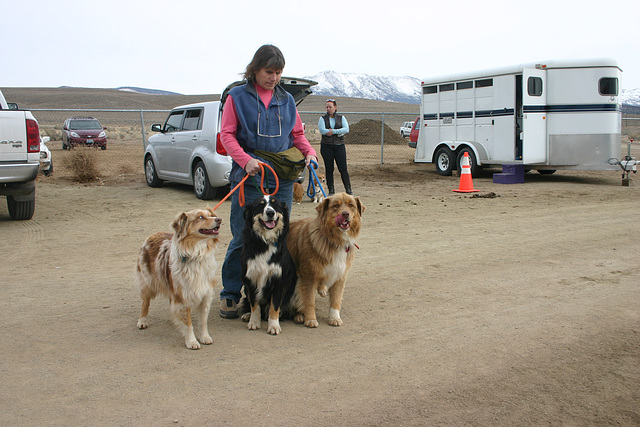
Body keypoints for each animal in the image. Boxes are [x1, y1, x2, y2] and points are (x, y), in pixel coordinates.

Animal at [135, 207, 222, 352]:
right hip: (147, 282)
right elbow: (188, 324)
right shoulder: (183, 298)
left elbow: (203, 321)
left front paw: (204, 337)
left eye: (211, 215)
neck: (197, 255)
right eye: (200, 217)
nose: (219, 219)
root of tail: (153, 235)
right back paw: (142, 321)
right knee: (144, 303)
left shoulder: (205, 295)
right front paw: (191, 341)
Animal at [240, 196, 298, 336]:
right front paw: (254, 322)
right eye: (261, 205)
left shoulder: (278, 281)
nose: (270, 213)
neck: (265, 242)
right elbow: (254, 305)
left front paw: (274, 326)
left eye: (275, 204)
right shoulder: (250, 280)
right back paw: (246, 314)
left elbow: (274, 306)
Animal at [286, 192, 364, 330]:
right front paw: (311, 319)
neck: (335, 241)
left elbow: (336, 300)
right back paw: (299, 316)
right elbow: (309, 301)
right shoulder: (308, 277)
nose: (345, 214)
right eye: (335, 205)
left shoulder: (340, 276)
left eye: (351, 205)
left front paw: (335, 318)